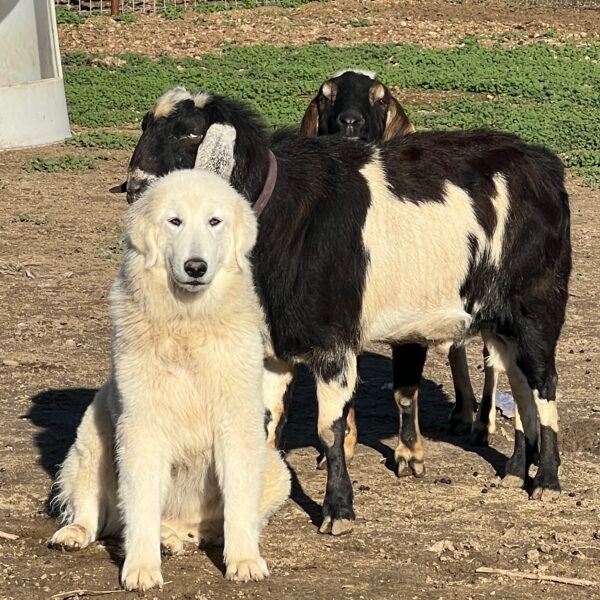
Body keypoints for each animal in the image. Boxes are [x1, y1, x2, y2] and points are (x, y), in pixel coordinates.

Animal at [50, 171, 290, 592]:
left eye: (214, 222)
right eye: (174, 221)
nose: (195, 266)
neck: (187, 322)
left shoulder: (238, 422)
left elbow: (239, 504)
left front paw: (244, 561)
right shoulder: (143, 424)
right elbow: (141, 504)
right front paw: (141, 568)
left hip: (275, 466)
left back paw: (187, 537)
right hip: (93, 436)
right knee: (95, 511)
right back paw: (81, 533)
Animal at [115, 88, 568, 536]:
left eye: (191, 132)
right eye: (146, 124)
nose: (137, 189)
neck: (285, 220)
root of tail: (545, 167)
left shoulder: (332, 343)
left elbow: (328, 429)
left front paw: (338, 510)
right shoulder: (274, 348)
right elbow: (266, 423)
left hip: (537, 309)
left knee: (544, 385)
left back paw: (546, 481)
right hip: (501, 324)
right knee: (521, 386)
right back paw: (514, 471)